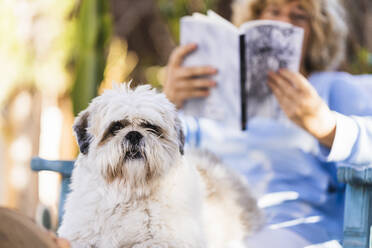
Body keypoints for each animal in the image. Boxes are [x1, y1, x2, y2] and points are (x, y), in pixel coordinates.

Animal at [58, 84, 262, 248]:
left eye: (152, 128)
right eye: (116, 127)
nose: (134, 134)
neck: (130, 193)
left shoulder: (167, 241)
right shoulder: (79, 236)